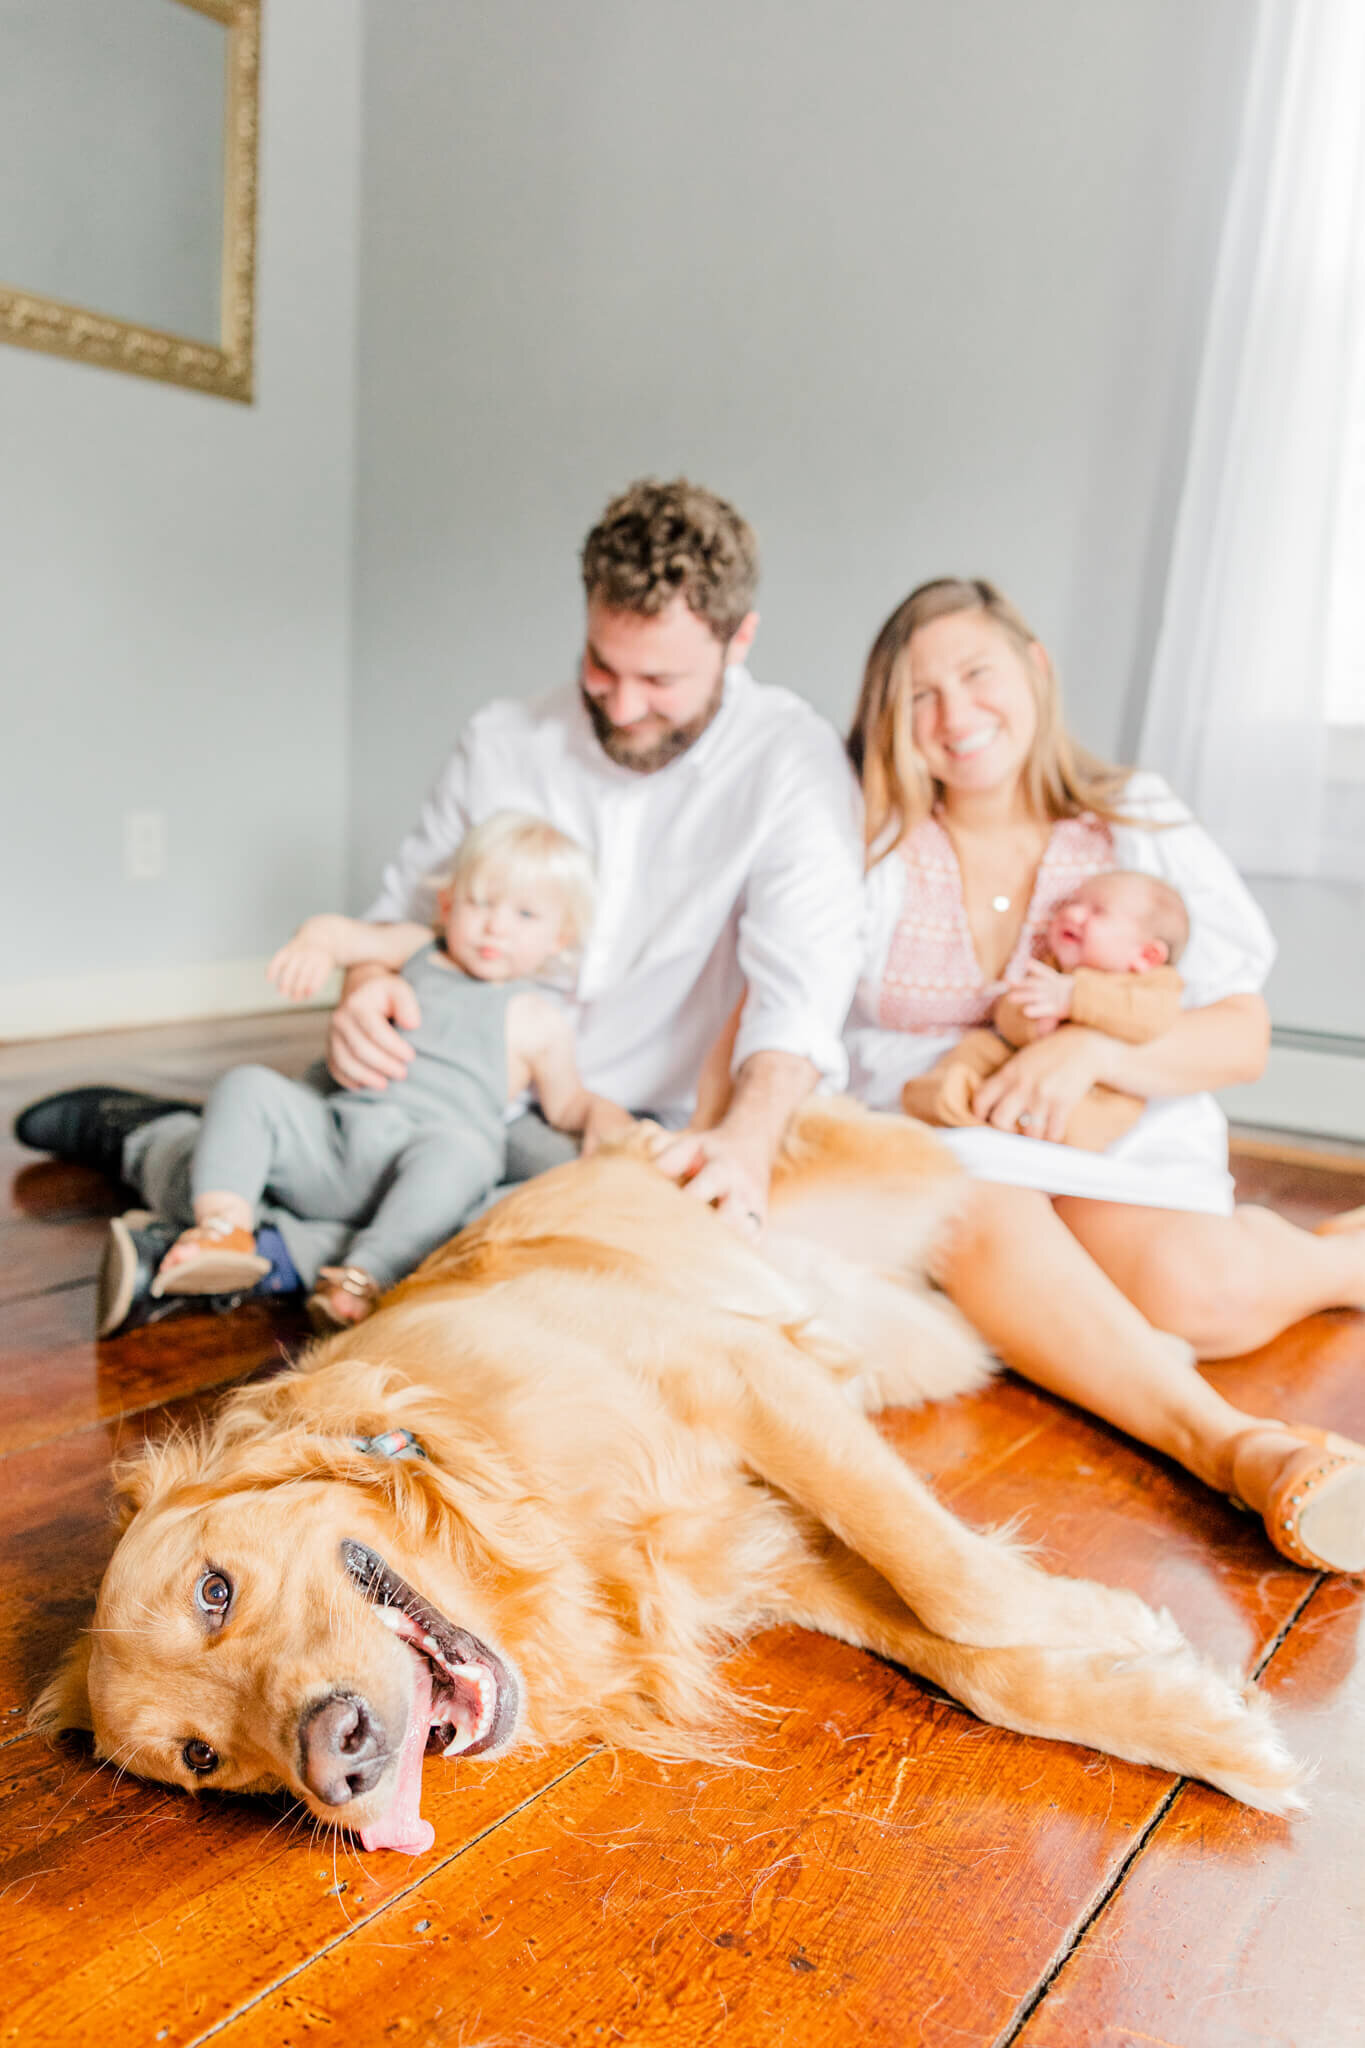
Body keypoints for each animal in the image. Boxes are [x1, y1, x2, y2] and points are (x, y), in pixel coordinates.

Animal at [37, 1105, 1309, 1859]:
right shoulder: (773, 1553)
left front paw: (1116, 1623)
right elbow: (978, 1661)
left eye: (216, 1589)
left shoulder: (742, 1373)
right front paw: (1208, 1726)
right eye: (203, 1760)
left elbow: (962, 1586)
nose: (337, 1756)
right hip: (927, 1338)